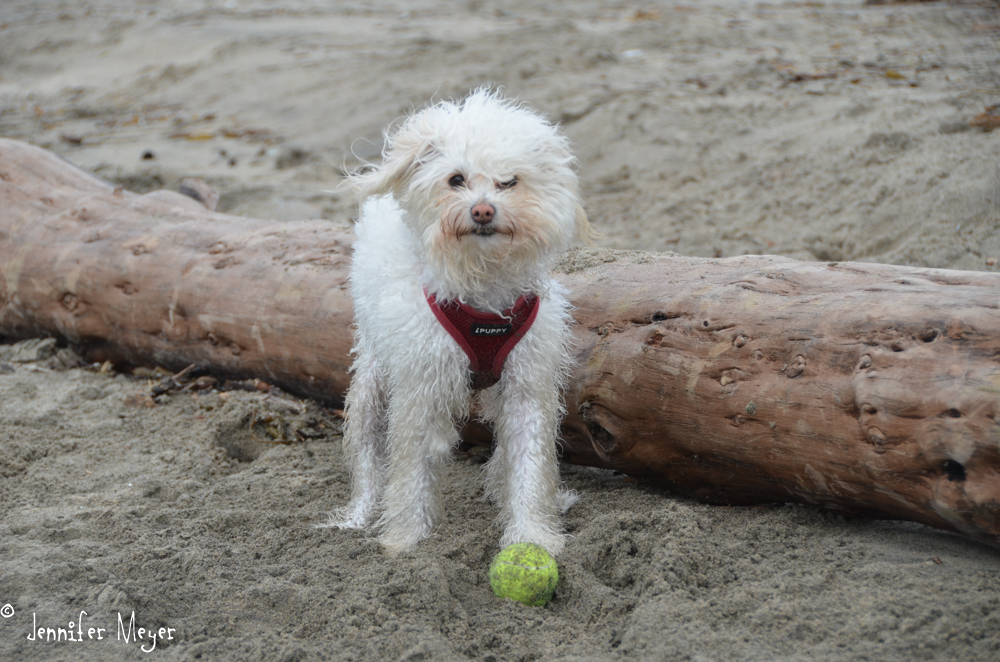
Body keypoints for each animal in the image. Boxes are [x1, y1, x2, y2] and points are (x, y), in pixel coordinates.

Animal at [324, 87, 592, 556]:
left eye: (509, 181)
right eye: (456, 179)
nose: (483, 211)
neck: (481, 288)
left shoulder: (527, 386)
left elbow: (530, 462)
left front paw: (532, 535)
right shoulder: (420, 387)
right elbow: (410, 469)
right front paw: (405, 539)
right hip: (372, 378)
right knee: (366, 453)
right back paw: (358, 515)